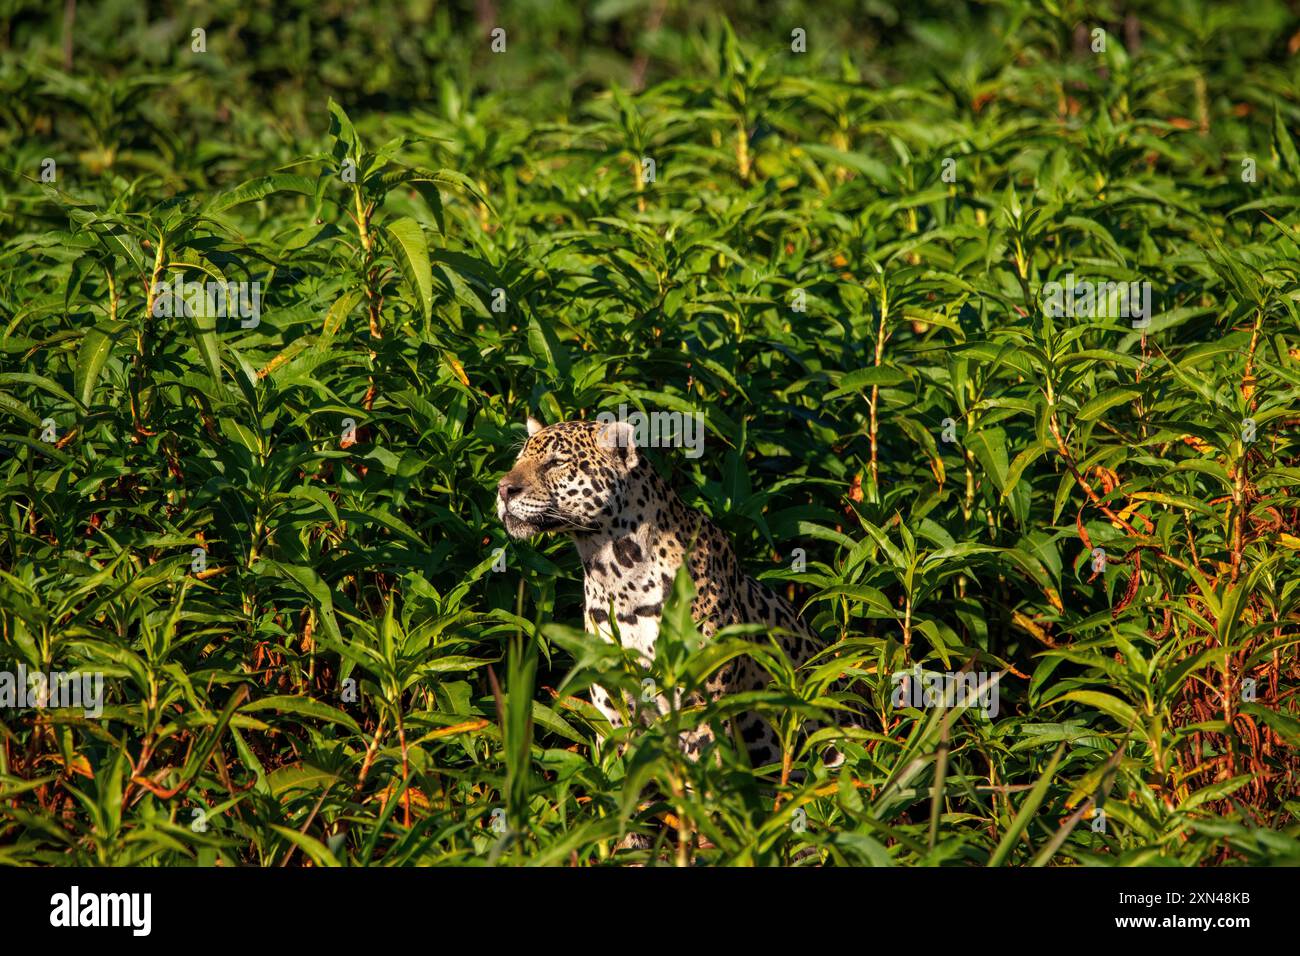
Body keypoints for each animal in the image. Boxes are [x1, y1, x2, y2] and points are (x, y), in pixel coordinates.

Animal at [496, 415, 833, 769]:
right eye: (519, 459)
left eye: (557, 462)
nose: (503, 489)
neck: (613, 571)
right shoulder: (611, 708)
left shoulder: (700, 706)